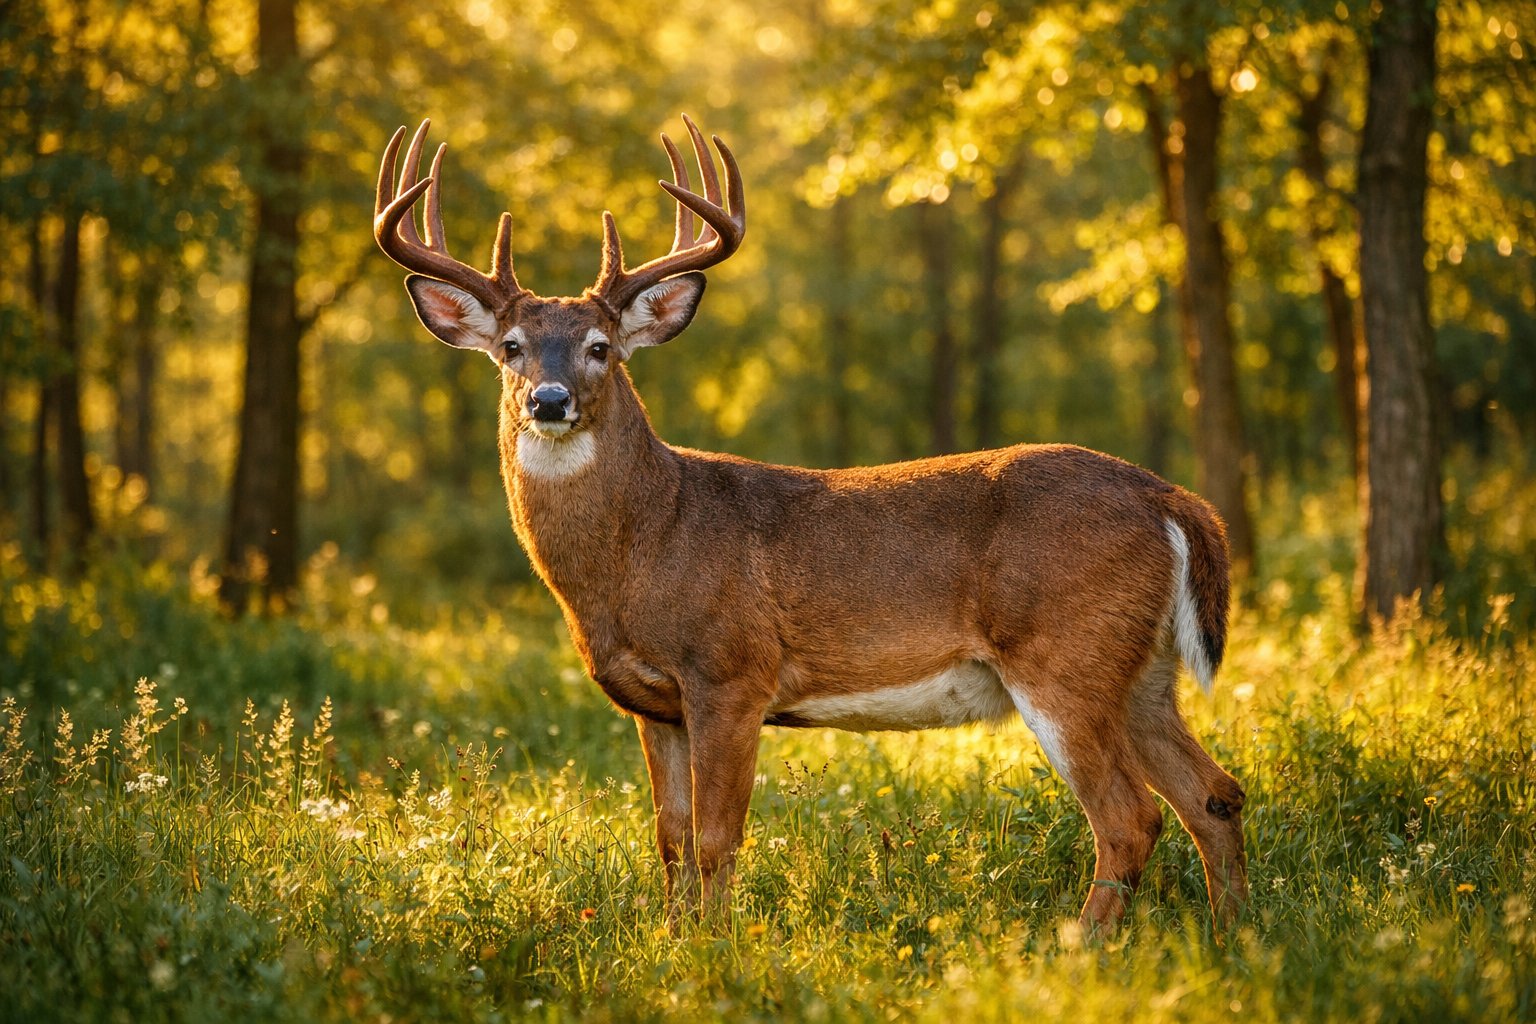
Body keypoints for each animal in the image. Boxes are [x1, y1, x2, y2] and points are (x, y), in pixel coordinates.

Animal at [372, 116, 1249, 934]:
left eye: (600, 347)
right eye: (511, 347)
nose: (548, 401)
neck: (646, 545)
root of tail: (1171, 499)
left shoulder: (731, 671)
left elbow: (717, 838)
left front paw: (714, 950)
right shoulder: (654, 704)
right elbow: (669, 837)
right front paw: (673, 942)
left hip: (1065, 654)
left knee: (1129, 817)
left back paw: (1078, 946)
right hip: (1142, 672)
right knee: (1215, 794)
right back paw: (1232, 934)